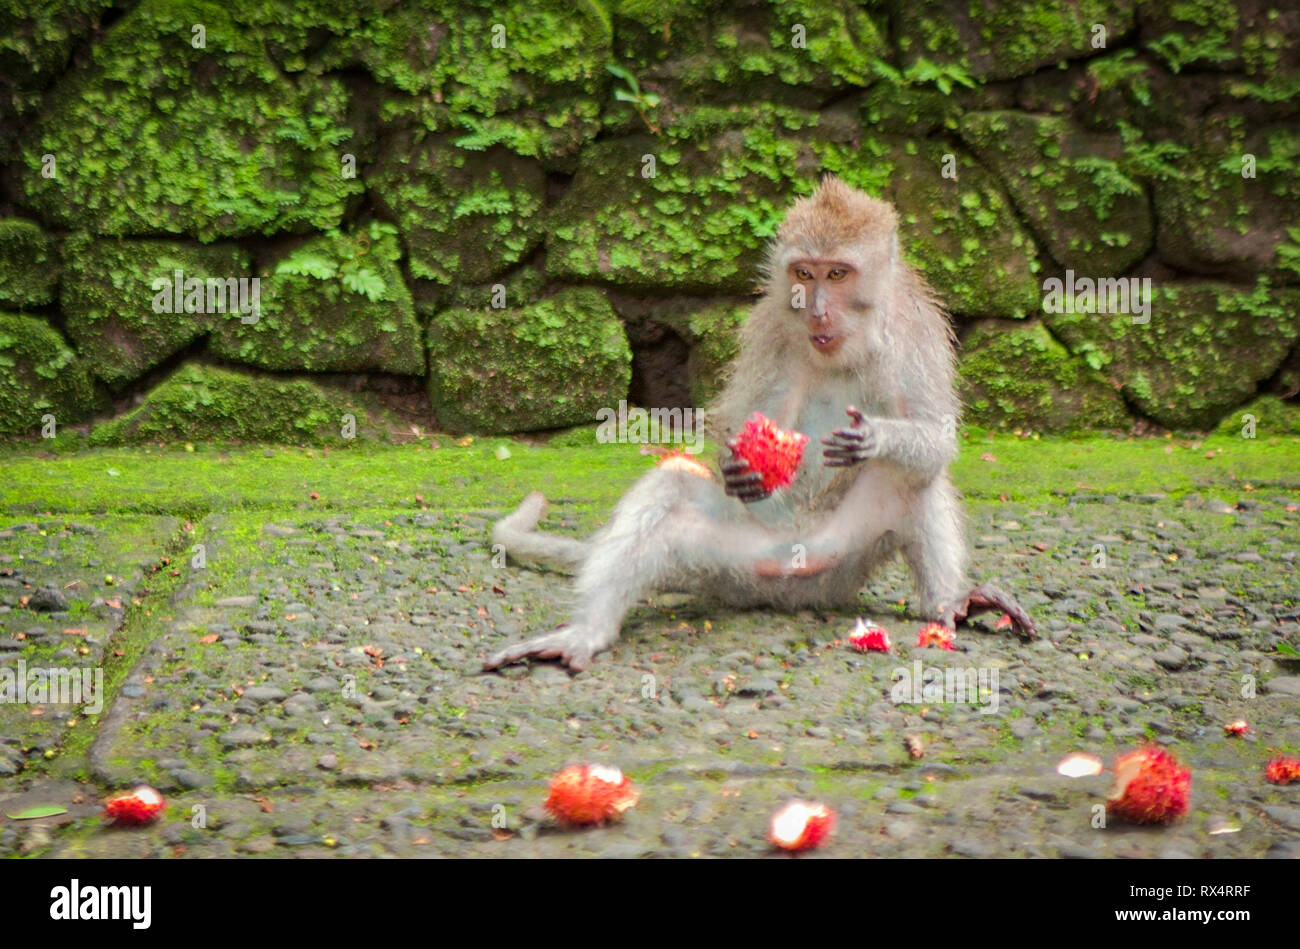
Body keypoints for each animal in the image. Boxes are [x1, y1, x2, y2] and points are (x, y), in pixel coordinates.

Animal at [486, 174, 1034, 670]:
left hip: (846, 558)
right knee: (670, 488)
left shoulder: (915, 331)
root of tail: (796, 579)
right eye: (804, 273)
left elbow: (937, 441)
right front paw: (738, 462)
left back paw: (949, 604)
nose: (816, 310)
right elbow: (741, 421)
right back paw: (587, 631)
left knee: (914, 478)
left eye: (838, 274)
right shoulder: (770, 326)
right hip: (733, 557)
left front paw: (876, 436)